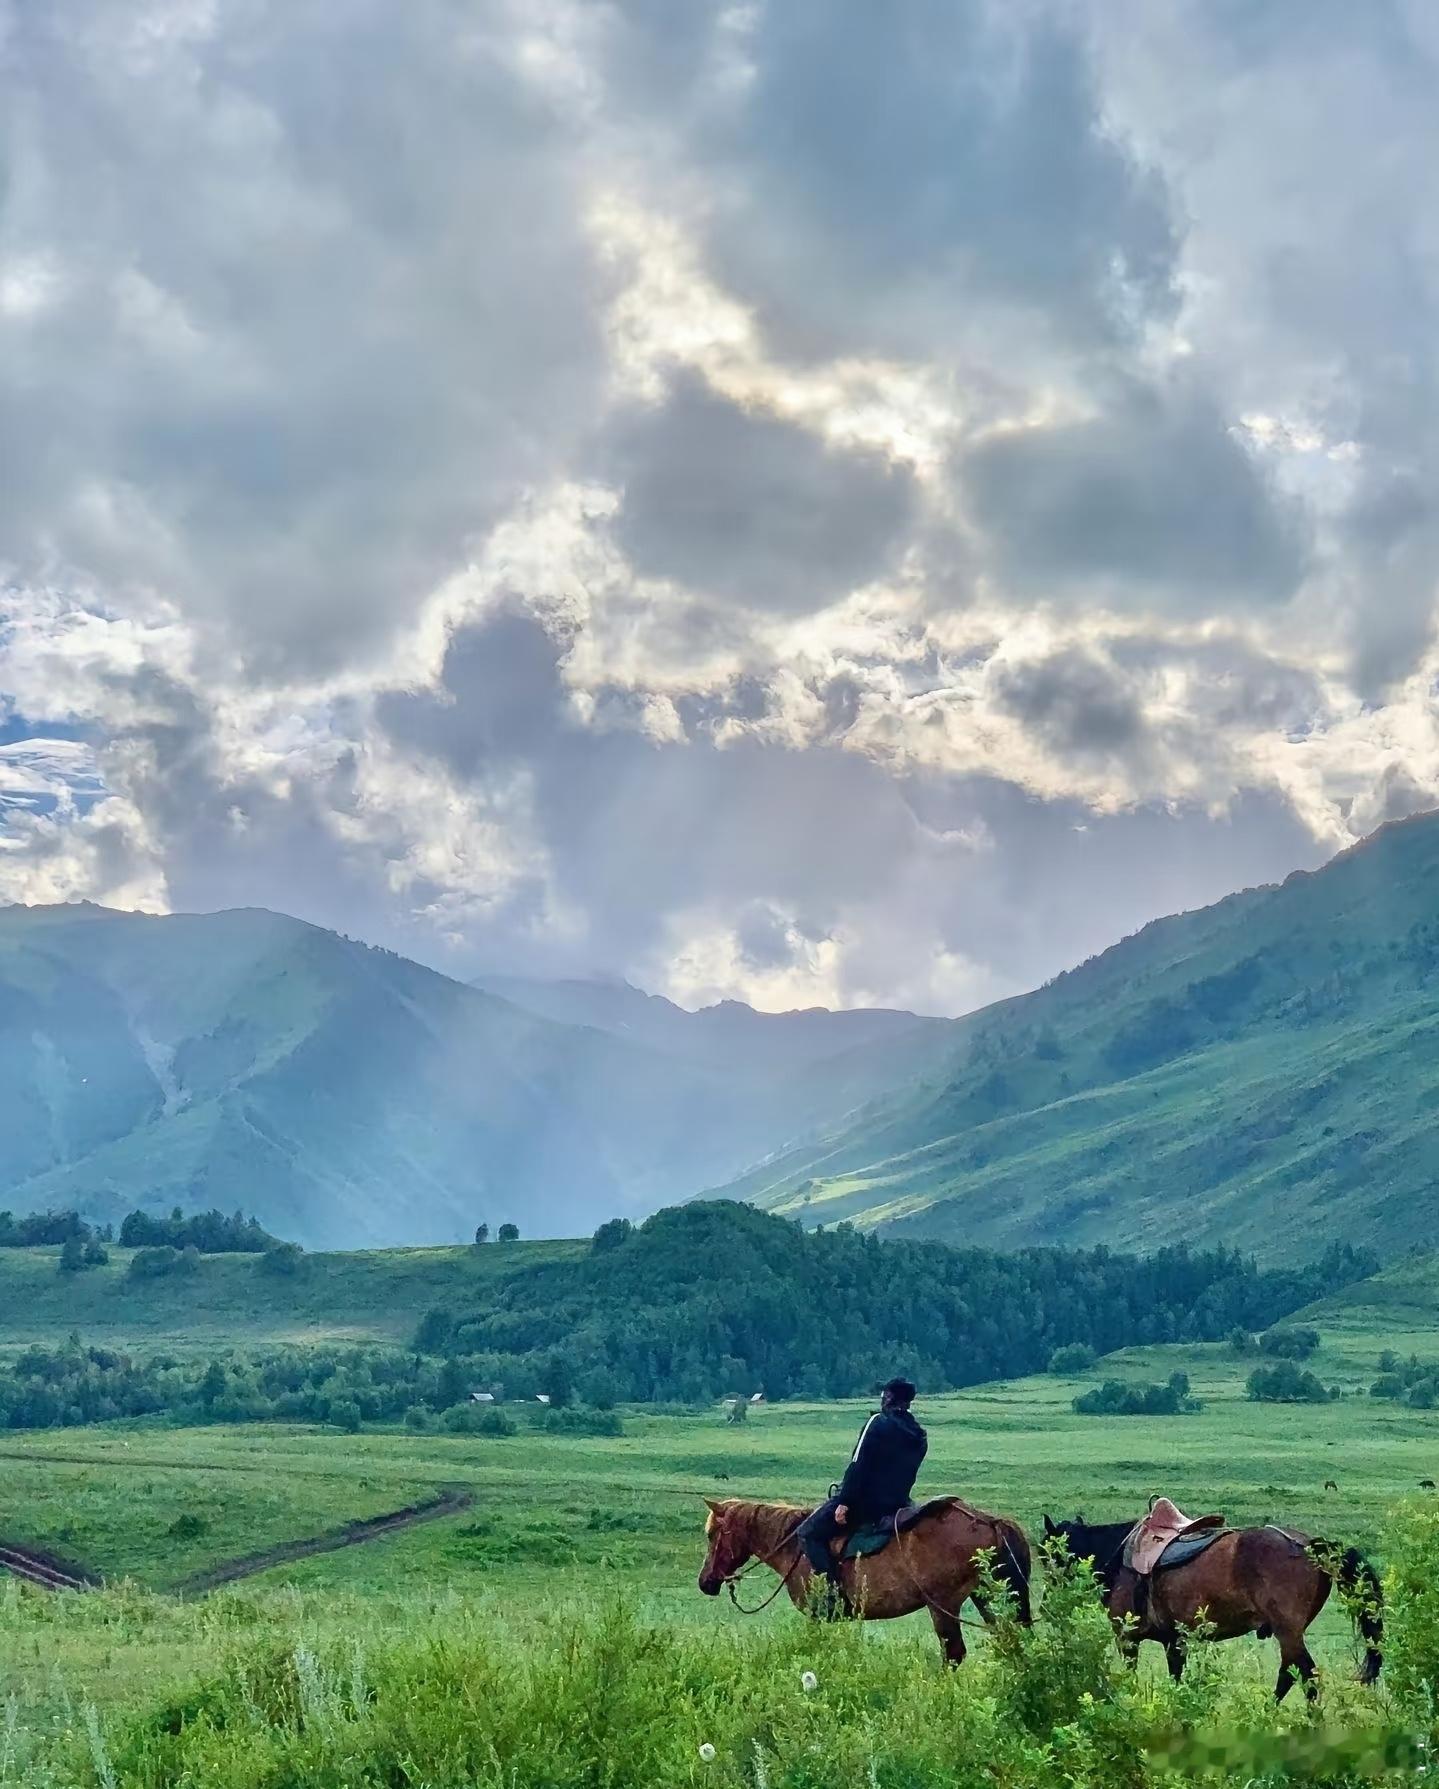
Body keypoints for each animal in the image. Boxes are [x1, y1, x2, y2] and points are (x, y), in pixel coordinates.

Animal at [1045, 1509, 1381, 1703]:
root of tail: (1311, 1545)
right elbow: (1176, 1679)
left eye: (1048, 1554)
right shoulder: (1174, 1641)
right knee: (1290, 1674)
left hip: (1287, 1631)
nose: (1047, 1600)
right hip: (1290, 1633)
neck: (1117, 1557)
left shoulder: (1127, 1638)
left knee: (1306, 1677)